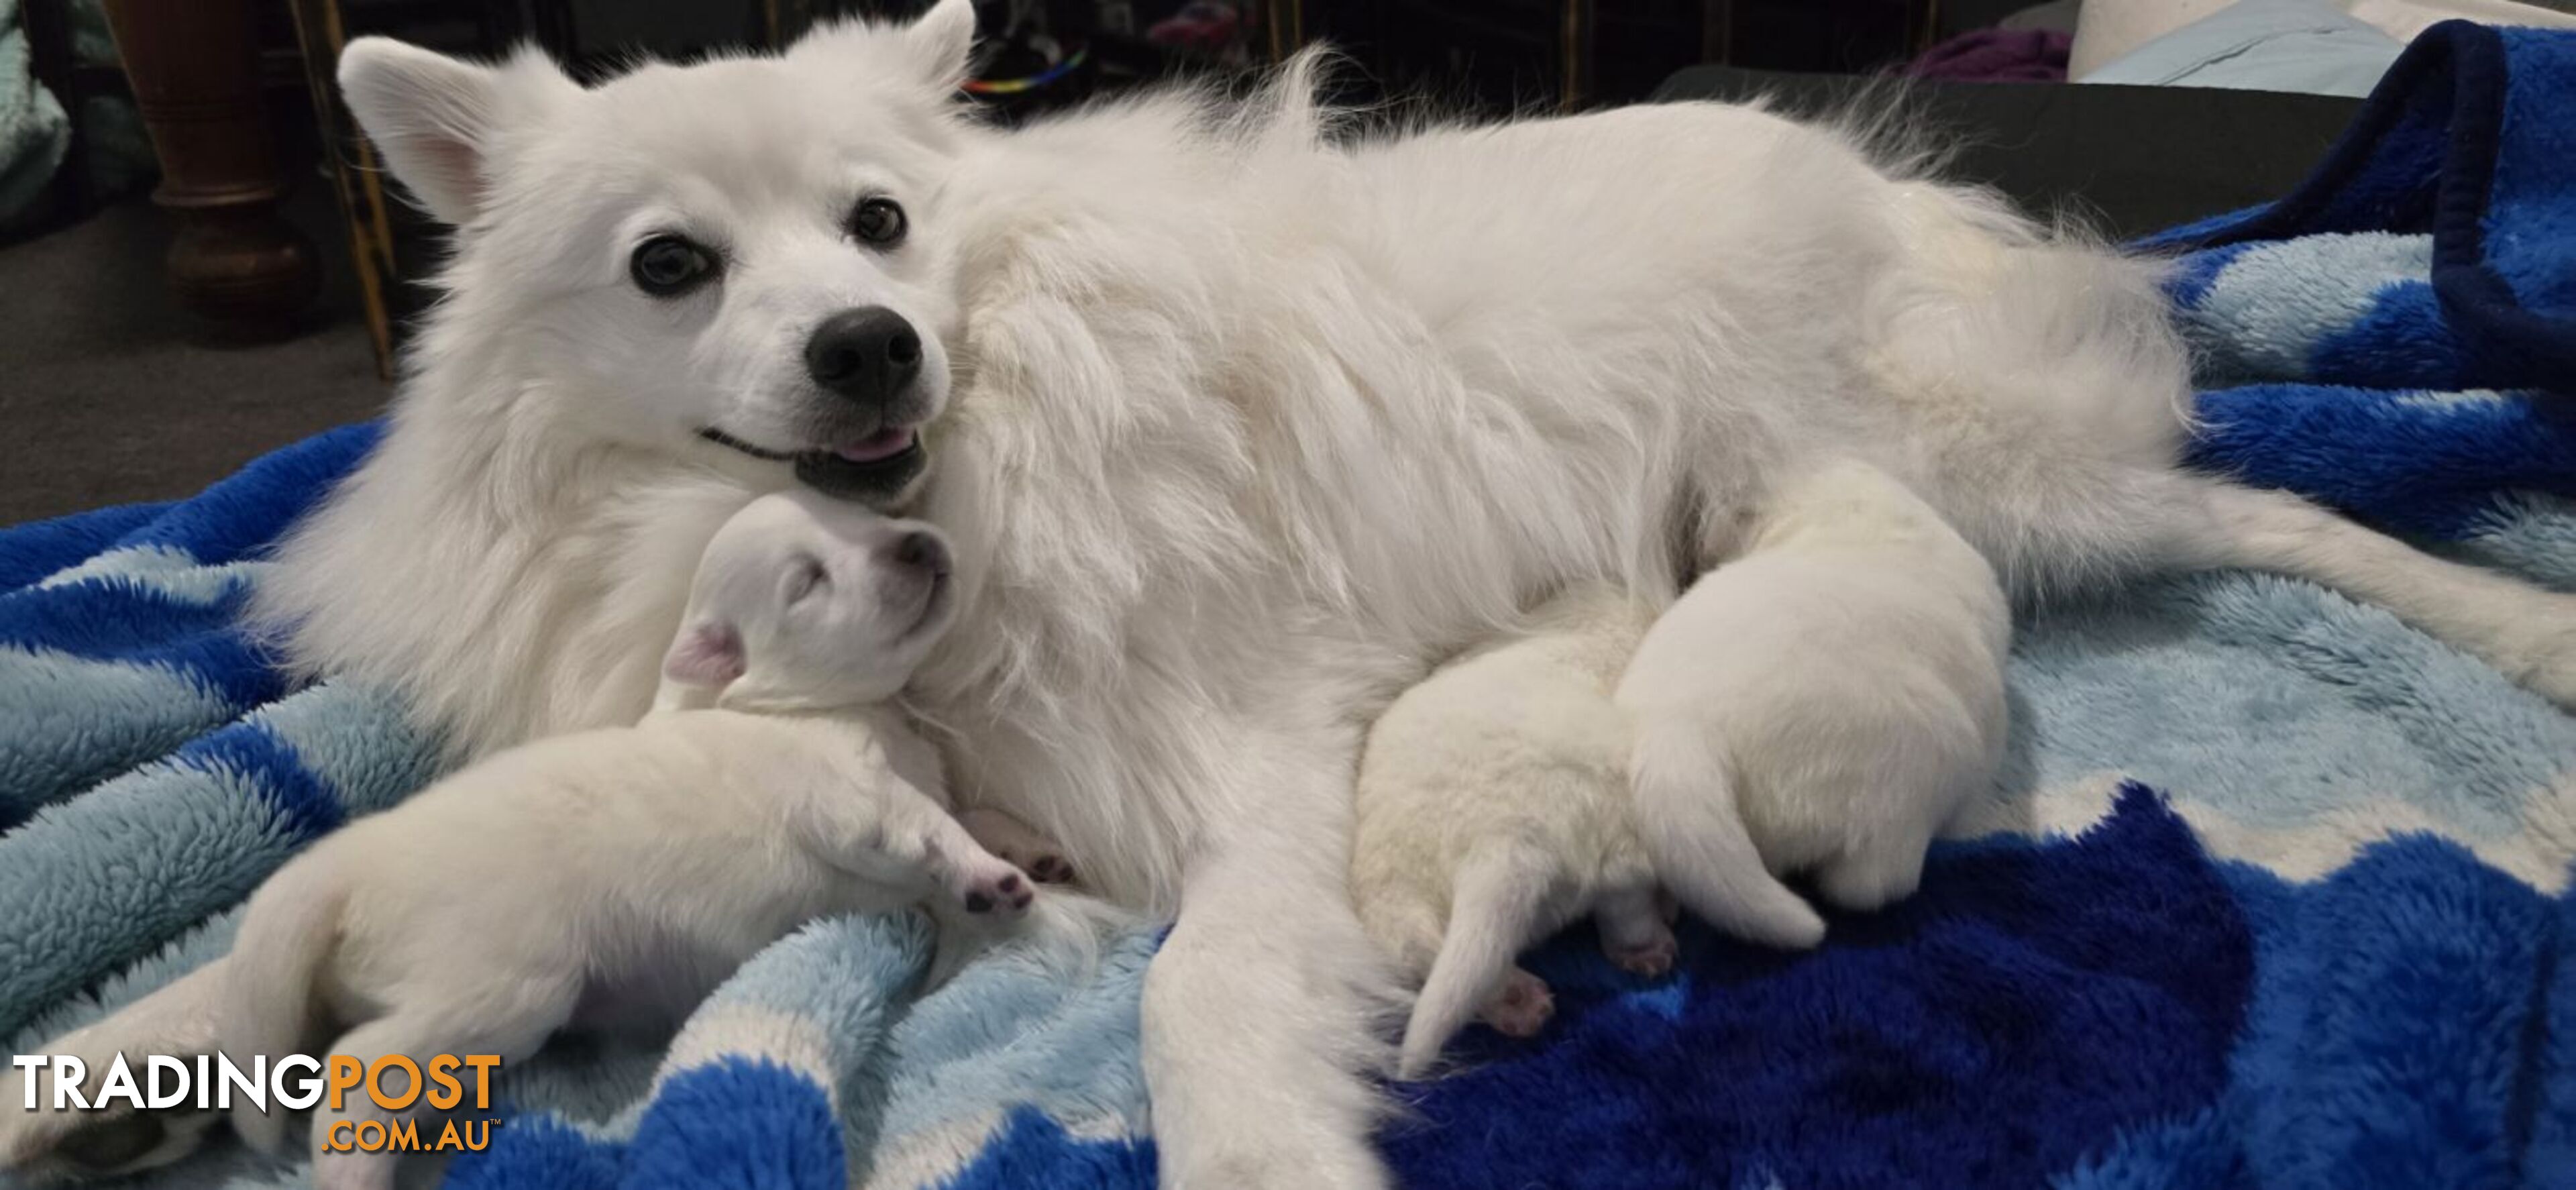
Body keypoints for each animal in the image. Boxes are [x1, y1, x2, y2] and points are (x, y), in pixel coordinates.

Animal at [219, 486, 1025, 1185]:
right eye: (808, 582)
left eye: (865, 514)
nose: (920, 542)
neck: (785, 702)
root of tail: (342, 863)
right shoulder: (846, 793)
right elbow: (924, 820)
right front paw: (989, 875)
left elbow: (965, 810)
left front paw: (1021, 841)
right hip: (500, 984)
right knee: (357, 1070)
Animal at [1350, 584, 1834, 1077]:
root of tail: (1499, 839)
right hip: (1616, 815)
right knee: (1628, 904)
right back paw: (1643, 943)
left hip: (1398, 907)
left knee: (1440, 959)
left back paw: (1517, 1001)